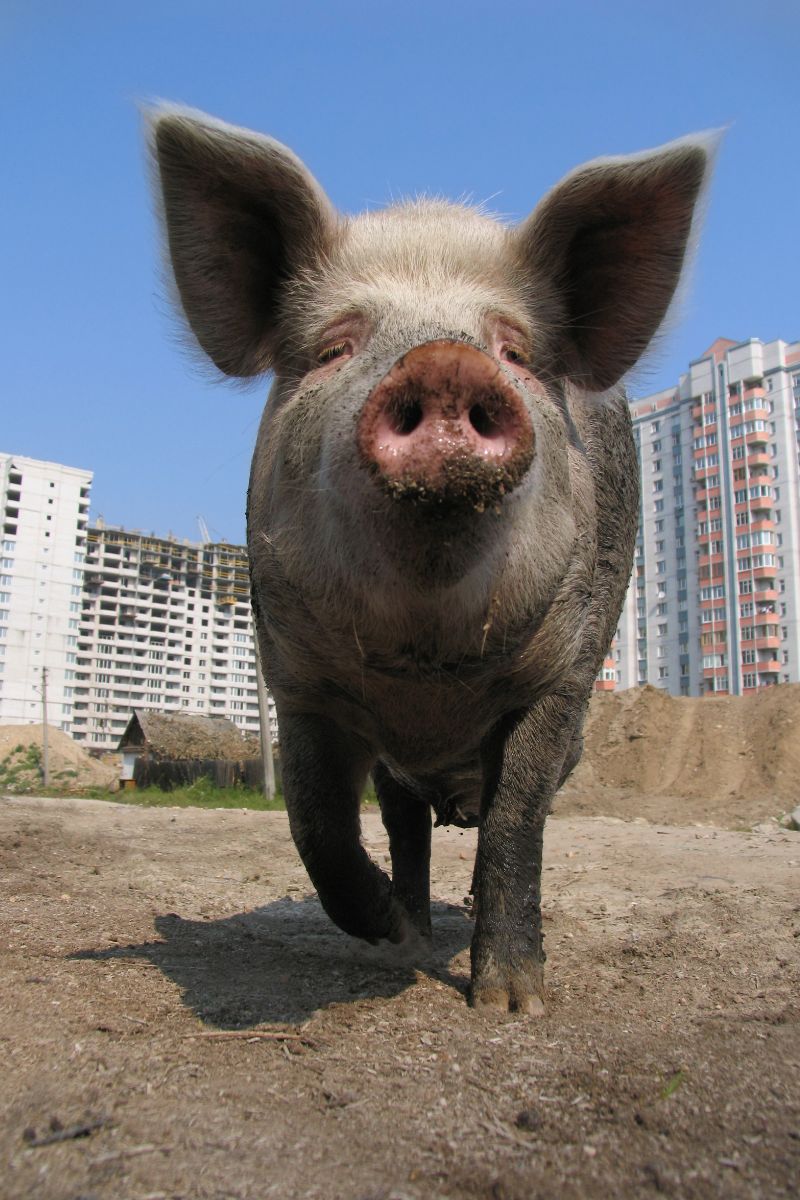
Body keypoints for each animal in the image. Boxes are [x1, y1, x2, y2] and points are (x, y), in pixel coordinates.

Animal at [149, 108, 715, 1013]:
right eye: (335, 347)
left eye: (514, 351)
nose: (446, 362)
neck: (427, 674)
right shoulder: (298, 678)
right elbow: (314, 823)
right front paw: (388, 932)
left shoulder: (567, 671)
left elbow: (519, 816)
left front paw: (513, 1003)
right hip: (393, 771)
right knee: (403, 825)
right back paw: (409, 933)